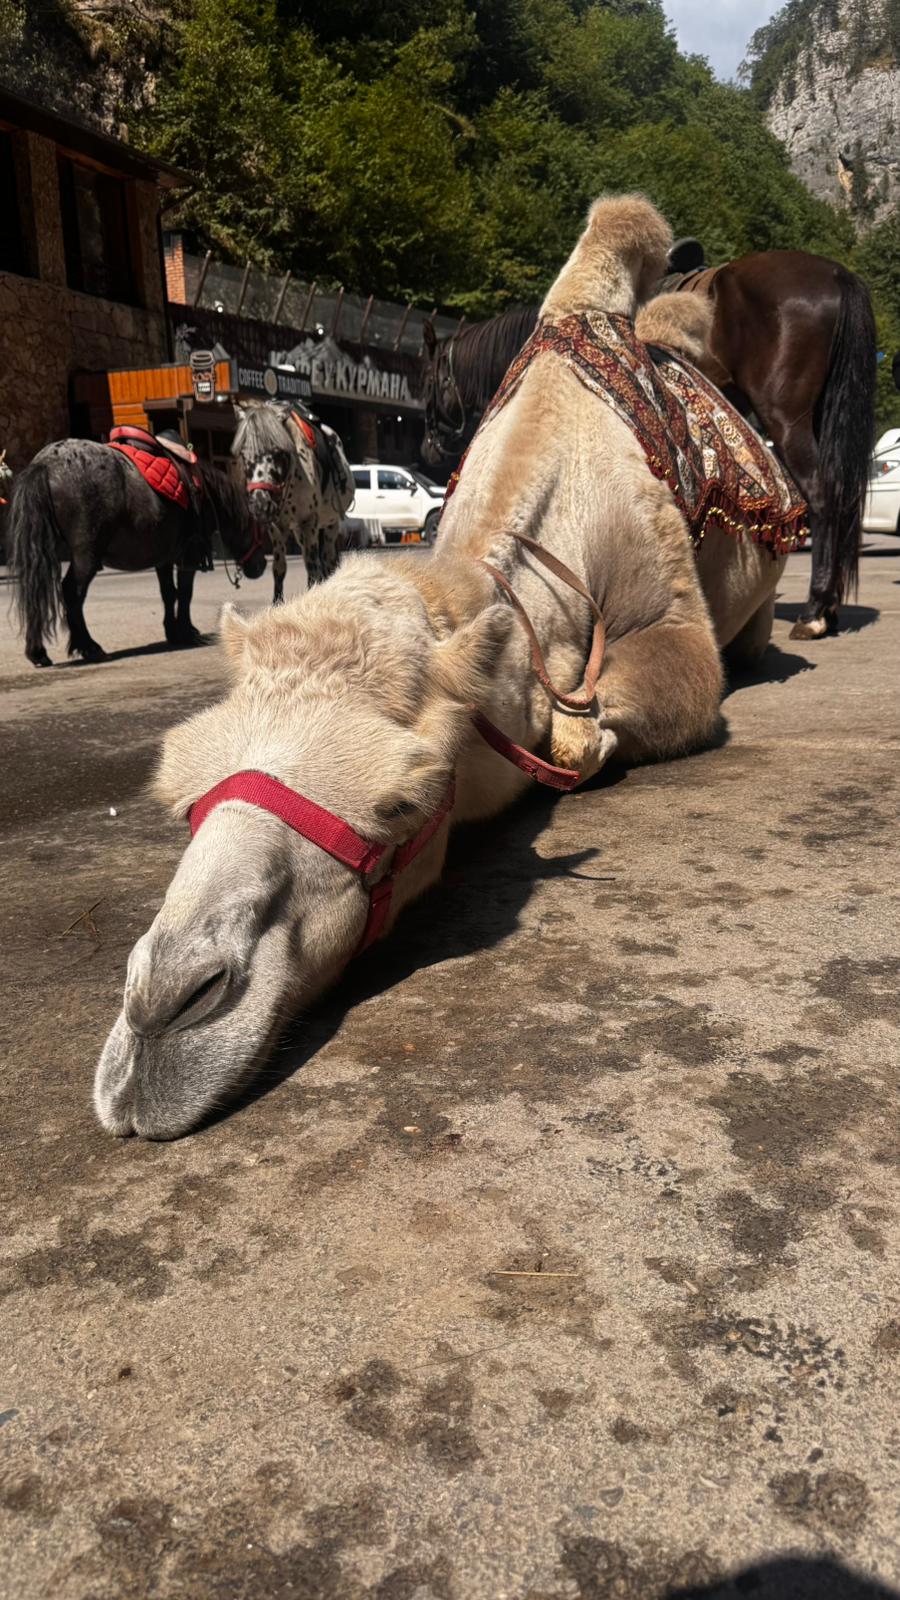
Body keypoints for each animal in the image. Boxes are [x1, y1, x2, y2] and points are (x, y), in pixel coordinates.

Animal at [8, 441, 267, 668]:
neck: (204, 491)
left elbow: (168, 593)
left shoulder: (164, 558)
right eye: (258, 525)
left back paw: (37, 652)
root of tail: (45, 464)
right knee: (72, 592)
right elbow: (185, 593)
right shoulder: (188, 556)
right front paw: (186, 630)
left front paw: (173, 631)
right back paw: (90, 647)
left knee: (36, 590)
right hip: (86, 555)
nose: (261, 565)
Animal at [232, 401, 354, 603]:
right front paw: (277, 603)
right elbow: (279, 568)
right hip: (299, 532)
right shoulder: (276, 527)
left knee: (326, 561)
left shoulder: (309, 522)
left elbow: (313, 567)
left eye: (278, 452)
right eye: (243, 453)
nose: (260, 505)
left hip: (330, 524)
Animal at [422, 248, 876, 641]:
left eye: (429, 380)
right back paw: (829, 610)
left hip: (785, 418)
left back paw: (814, 612)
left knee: (822, 496)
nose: (428, 448)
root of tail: (836, 274)